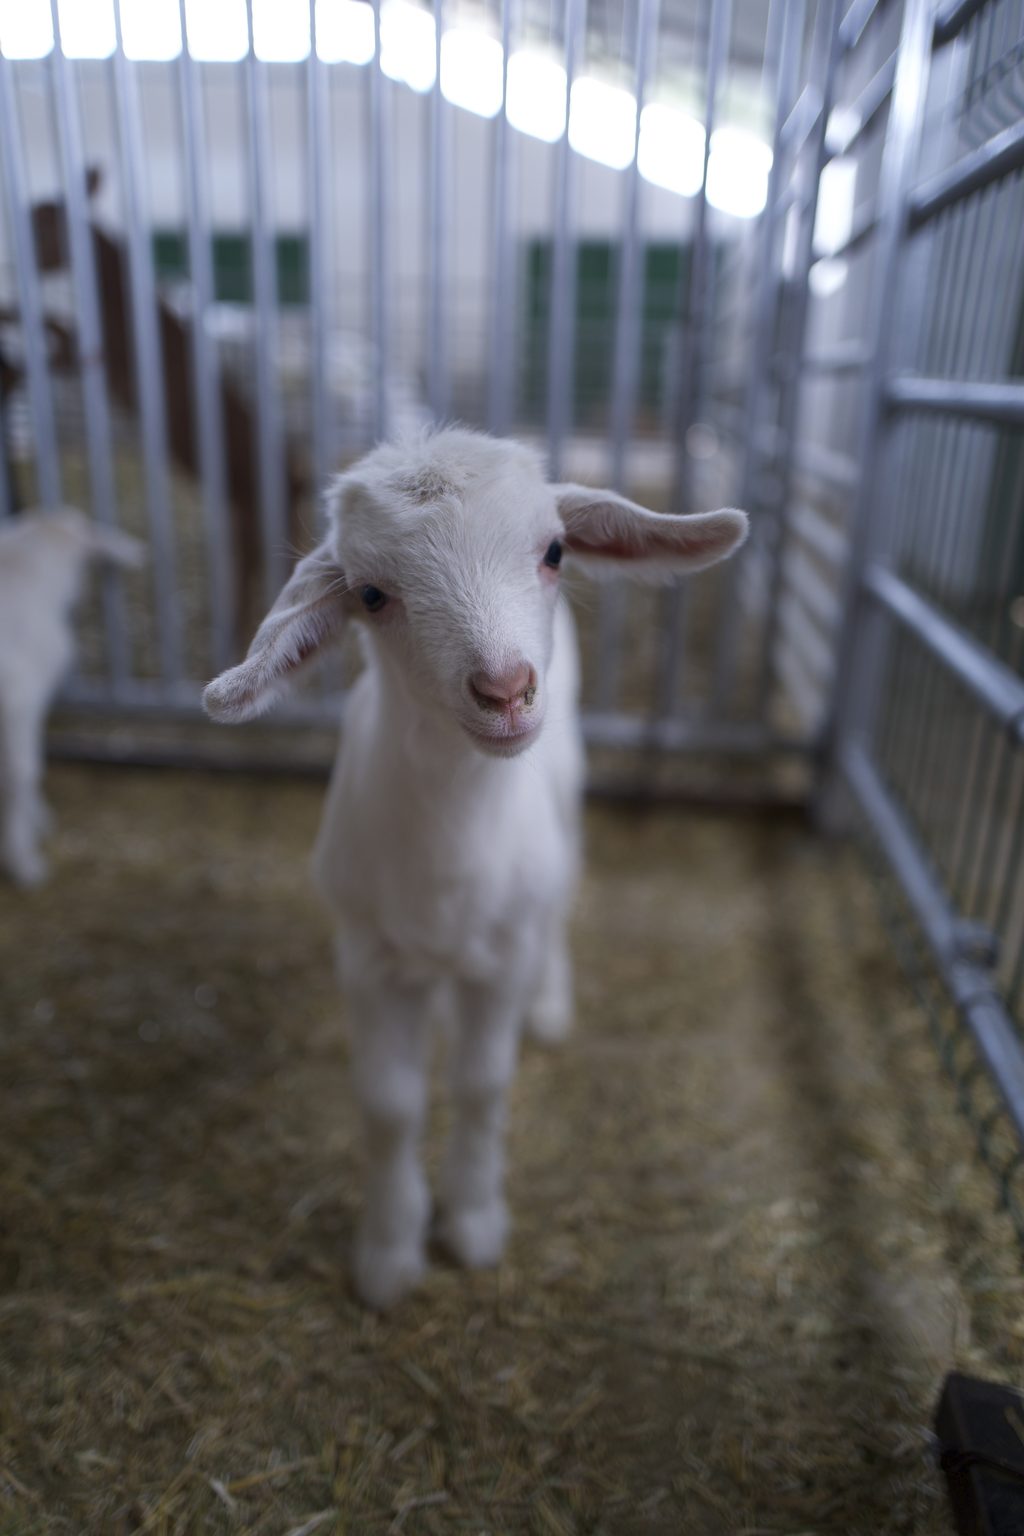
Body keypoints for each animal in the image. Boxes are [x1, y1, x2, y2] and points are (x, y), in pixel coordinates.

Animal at [204, 428, 747, 1308]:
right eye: (372, 594)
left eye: (554, 550)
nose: (505, 689)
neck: (447, 865)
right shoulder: (367, 957)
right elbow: (390, 1103)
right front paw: (389, 1251)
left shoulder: (503, 956)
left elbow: (482, 1083)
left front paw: (473, 1220)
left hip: (567, 801)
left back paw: (551, 1004)